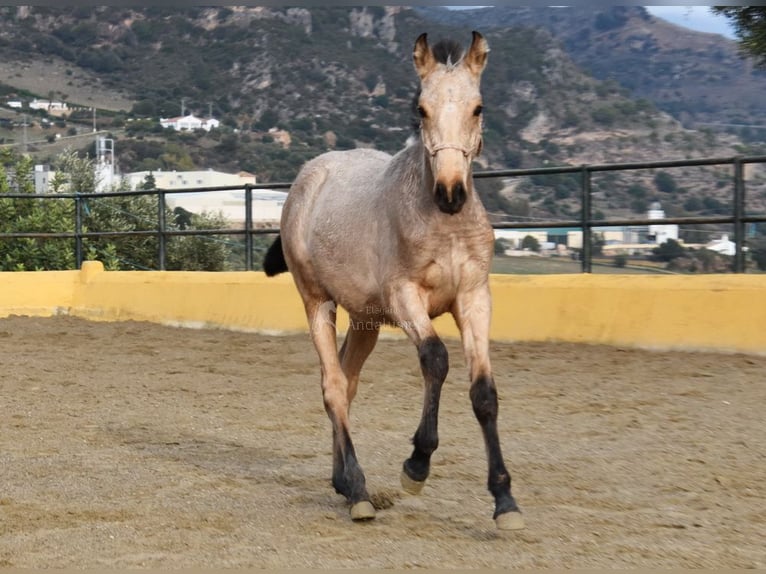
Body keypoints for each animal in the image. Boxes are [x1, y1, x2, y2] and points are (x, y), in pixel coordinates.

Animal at [262, 31, 520, 532]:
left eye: (478, 107)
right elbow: (435, 359)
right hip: (317, 301)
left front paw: (505, 501)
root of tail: (310, 175)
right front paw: (416, 465)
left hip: (365, 319)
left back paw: (343, 482)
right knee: (333, 385)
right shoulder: (405, 298)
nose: (451, 193)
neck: (444, 226)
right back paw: (359, 492)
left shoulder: (474, 299)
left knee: (347, 382)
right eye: (420, 109)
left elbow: (484, 392)